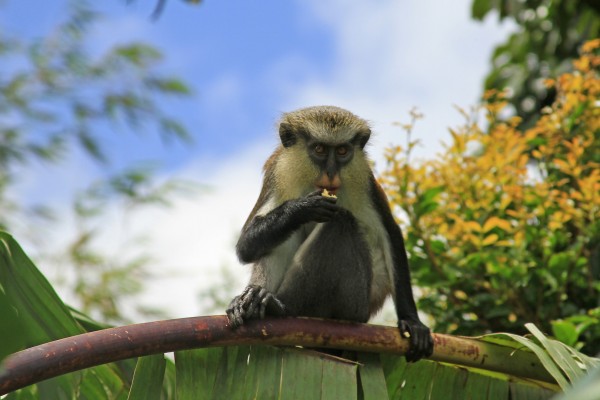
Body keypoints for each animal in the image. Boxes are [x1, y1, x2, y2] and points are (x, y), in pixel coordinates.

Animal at [227, 104, 434, 360]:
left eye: (343, 151)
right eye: (319, 149)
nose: (331, 173)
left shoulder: (366, 183)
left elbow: (392, 234)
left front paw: (412, 321)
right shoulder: (275, 177)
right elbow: (246, 246)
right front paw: (302, 208)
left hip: (355, 303)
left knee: (339, 222)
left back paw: (279, 307)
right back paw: (257, 299)